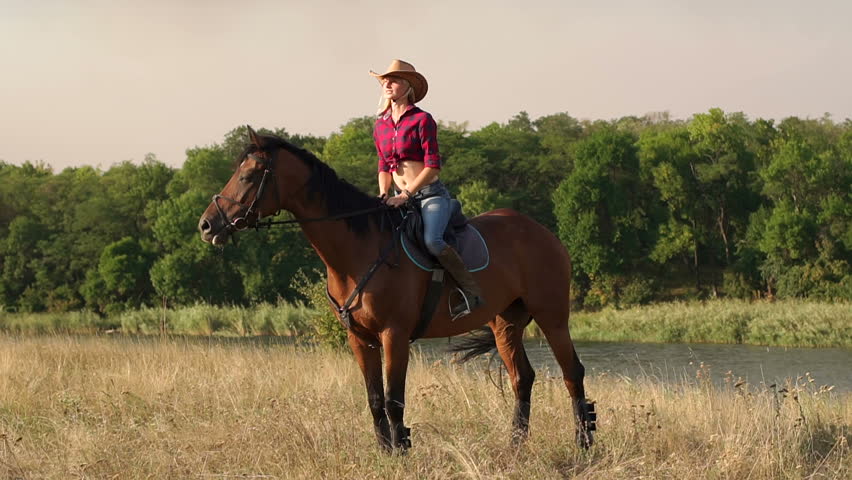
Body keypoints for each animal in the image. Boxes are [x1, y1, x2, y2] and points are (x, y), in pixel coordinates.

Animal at [198, 126, 600, 450]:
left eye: (249, 175)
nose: (206, 225)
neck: (360, 249)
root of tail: (543, 232)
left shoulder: (394, 334)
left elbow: (394, 399)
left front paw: (402, 449)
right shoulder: (360, 339)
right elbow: (375, 399)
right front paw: (386, 452)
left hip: (552, 317)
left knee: (572, 373)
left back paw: (583, 442)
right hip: (505, 322)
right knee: (522, 378)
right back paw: (516, 445)